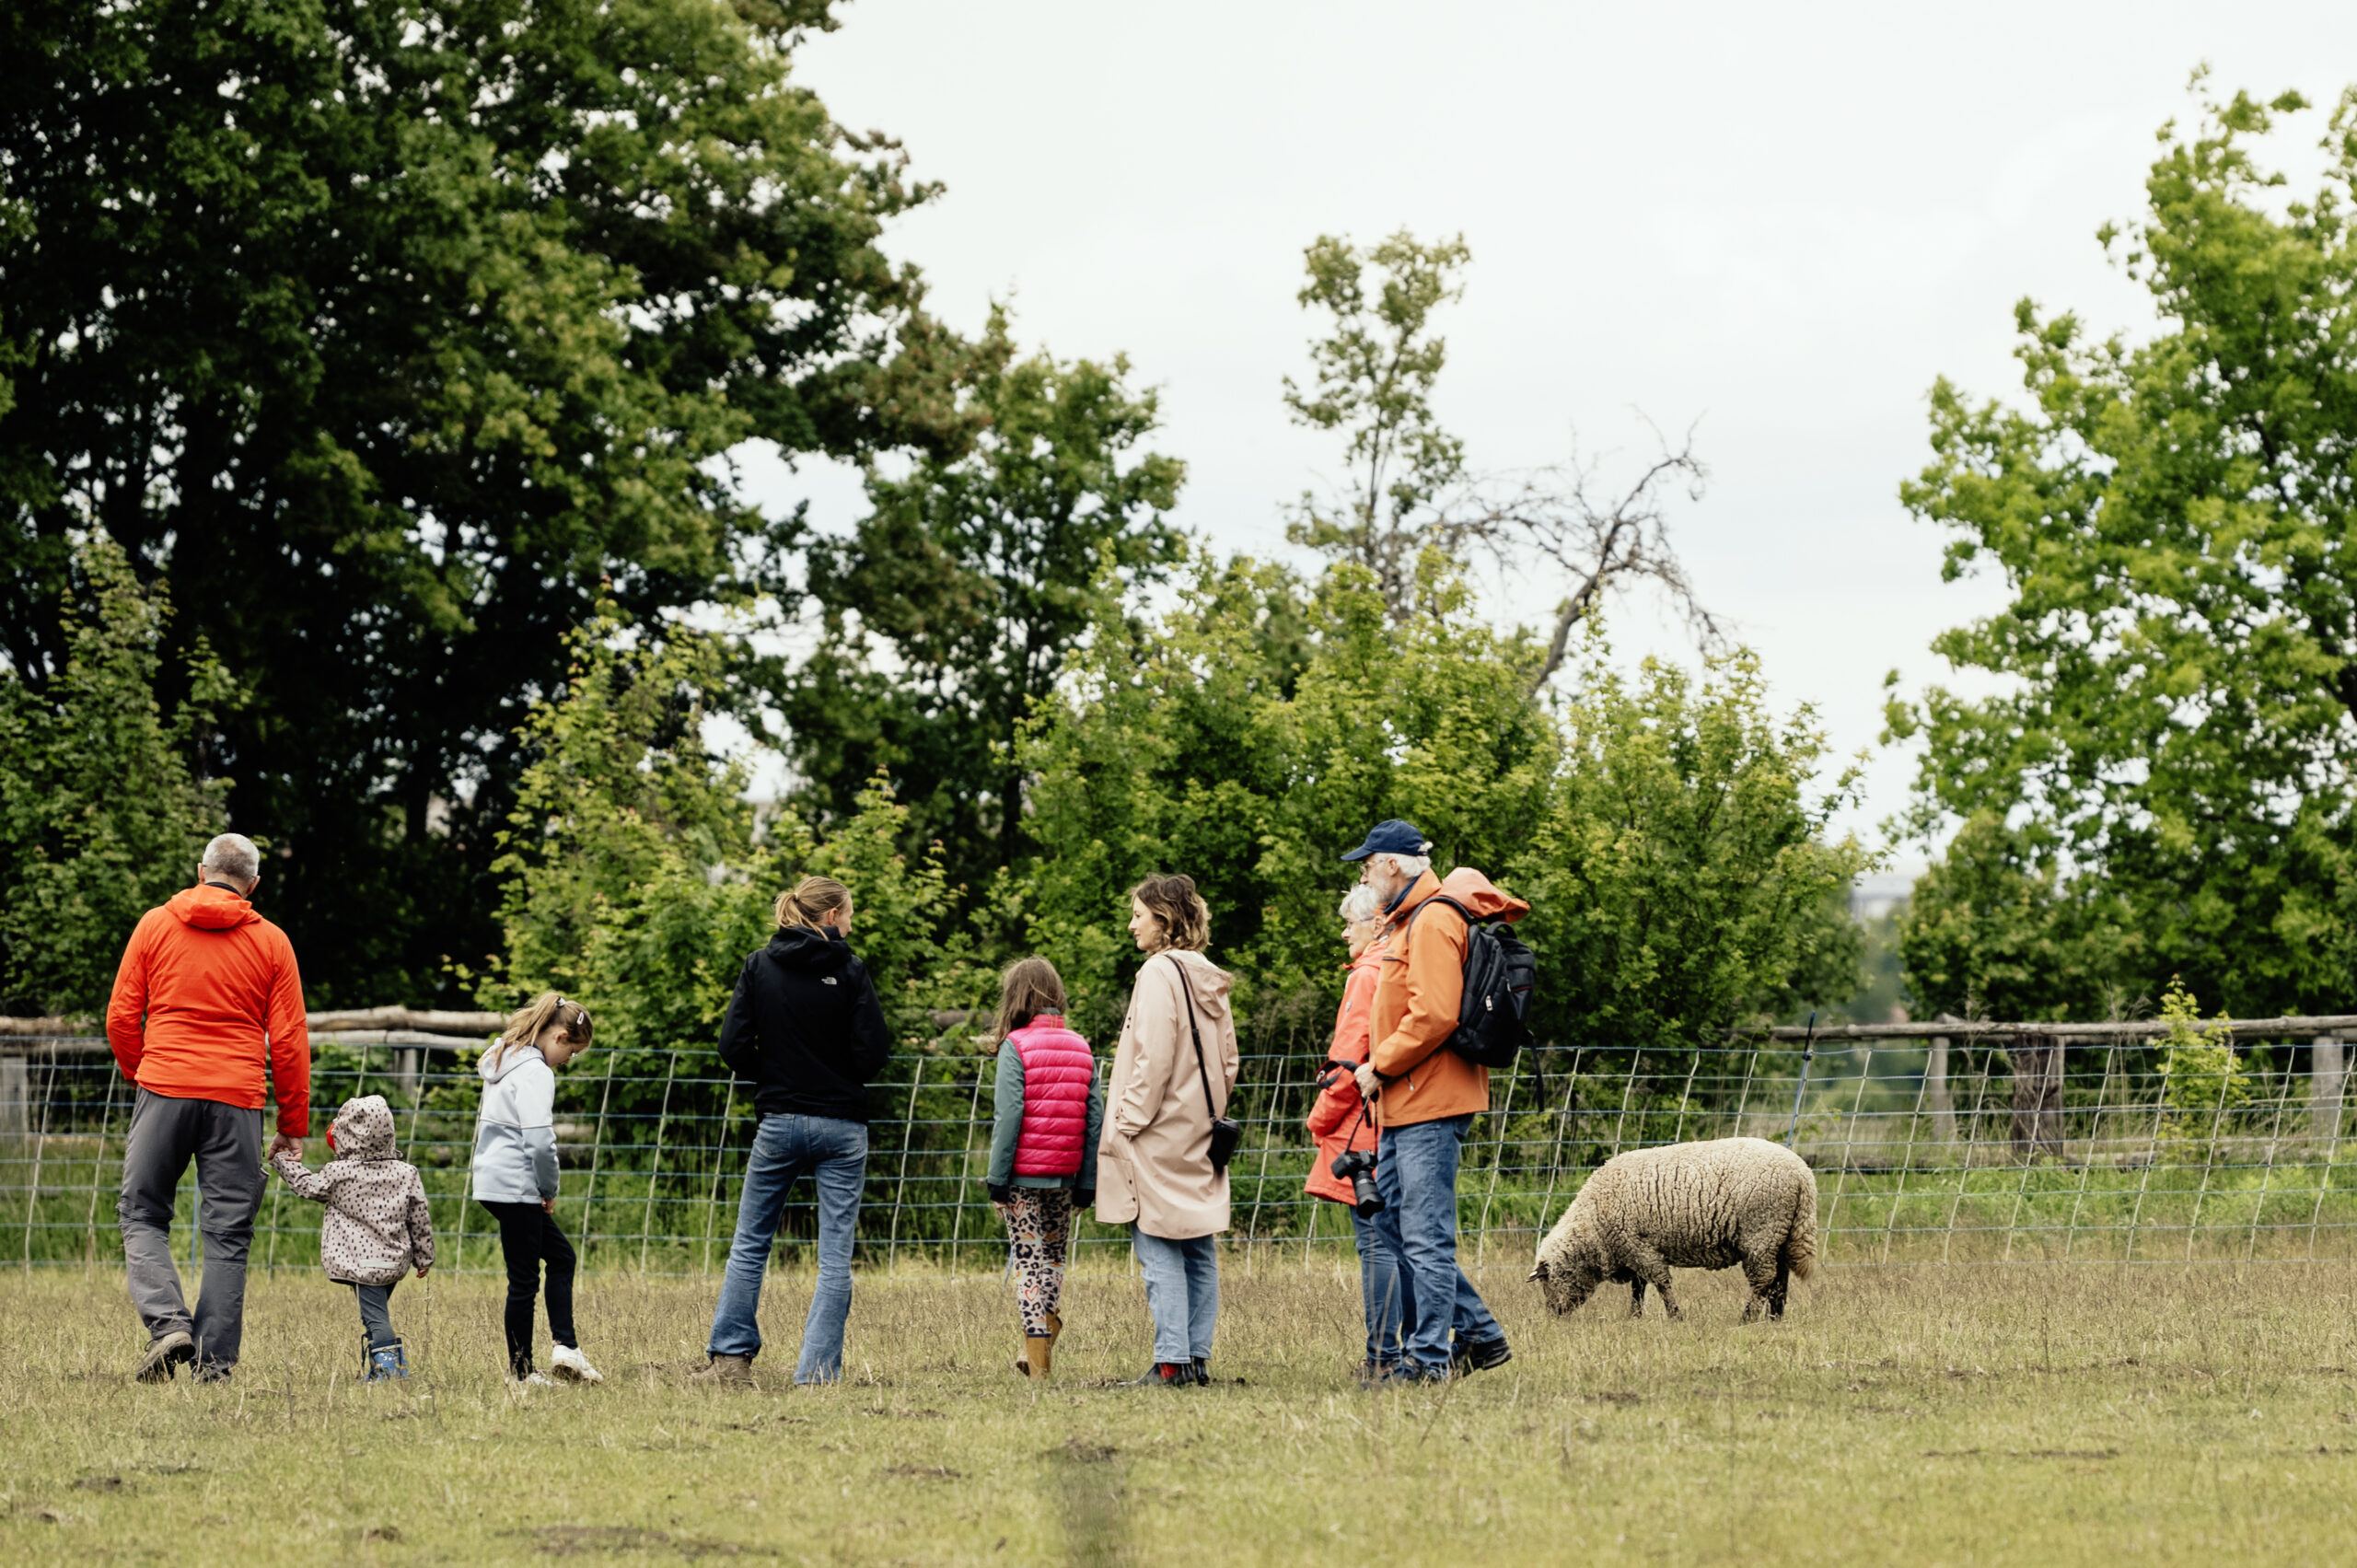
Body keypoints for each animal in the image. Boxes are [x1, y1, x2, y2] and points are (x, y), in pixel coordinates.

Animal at [1527, 1136, 1818, 1323]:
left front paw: (1675, 1316)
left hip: (1761, 1233)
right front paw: (1635, 1317)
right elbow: (1638, 1287)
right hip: (1780, 1235)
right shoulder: (1633, 1250)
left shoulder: (1638, 1246)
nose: (1553, 1317)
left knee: (1763, 1280)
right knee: (1780, 1280)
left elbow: (1660, 1283)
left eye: (1546, 1282)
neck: (1592, 1227)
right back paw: (1775, 1318)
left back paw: (1747, 1318)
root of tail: (1802, 1174)